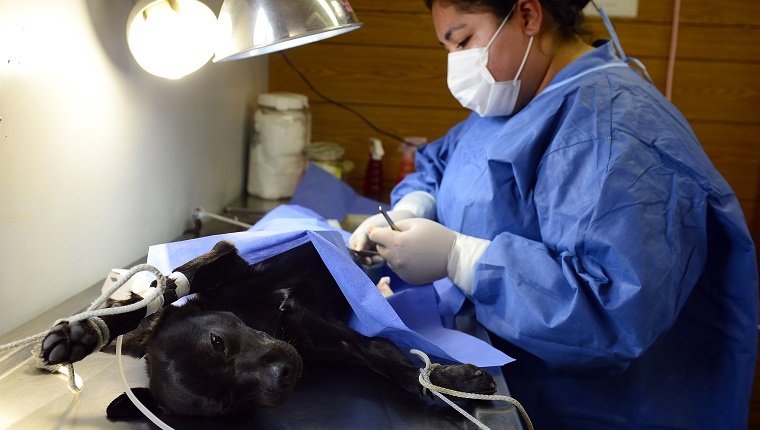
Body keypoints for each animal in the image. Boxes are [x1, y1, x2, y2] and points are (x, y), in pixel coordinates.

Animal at [38, 239, 496, 416]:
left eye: (217, 341)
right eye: (226, 402)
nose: (285, 374)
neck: (265, 319)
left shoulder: (225, 258)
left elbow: (166, 288)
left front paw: (82, 334)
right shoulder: (343, 343)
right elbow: (395, 366)